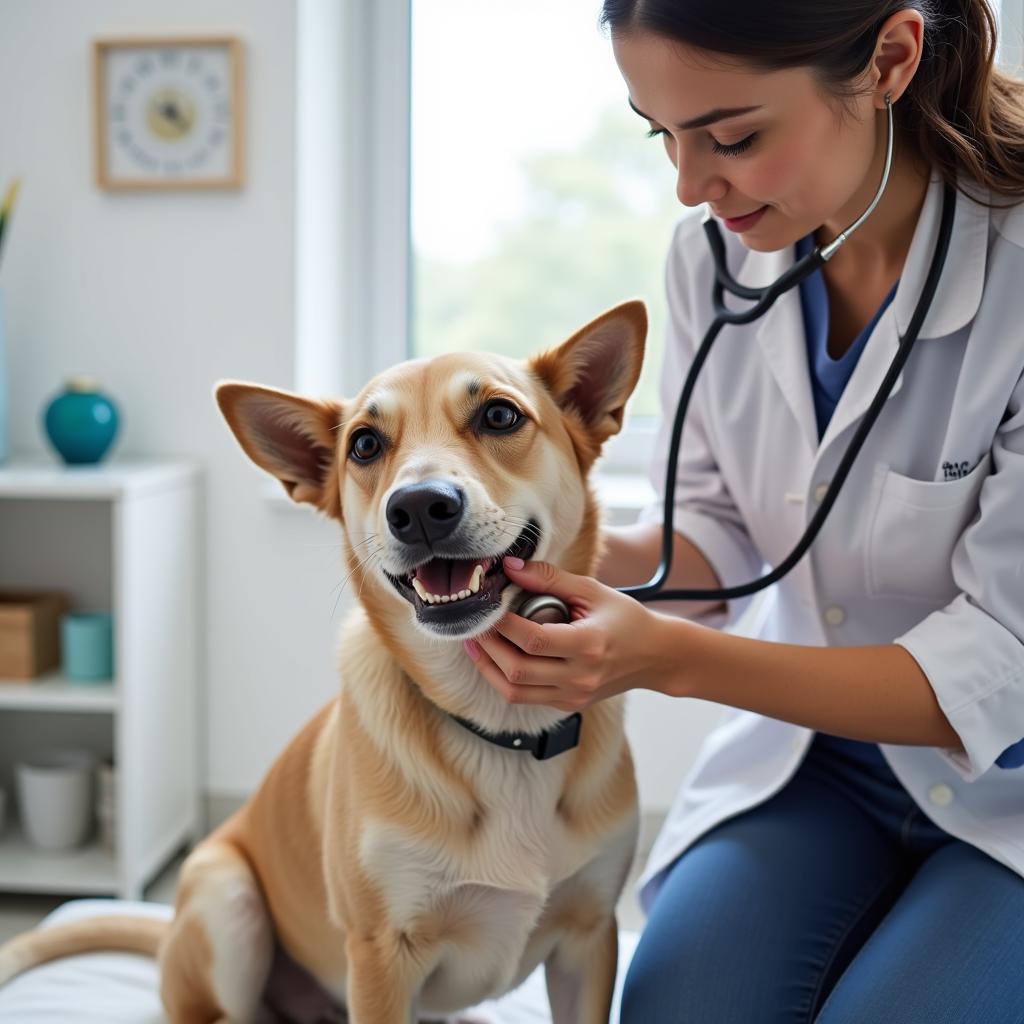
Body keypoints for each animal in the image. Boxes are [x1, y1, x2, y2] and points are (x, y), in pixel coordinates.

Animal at [0, 299, 643, 1019]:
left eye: (500, 416)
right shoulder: (380, 957)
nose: (419, 507)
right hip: (227, 898)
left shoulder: (591, 939)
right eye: (364, 444)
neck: (499, 726)